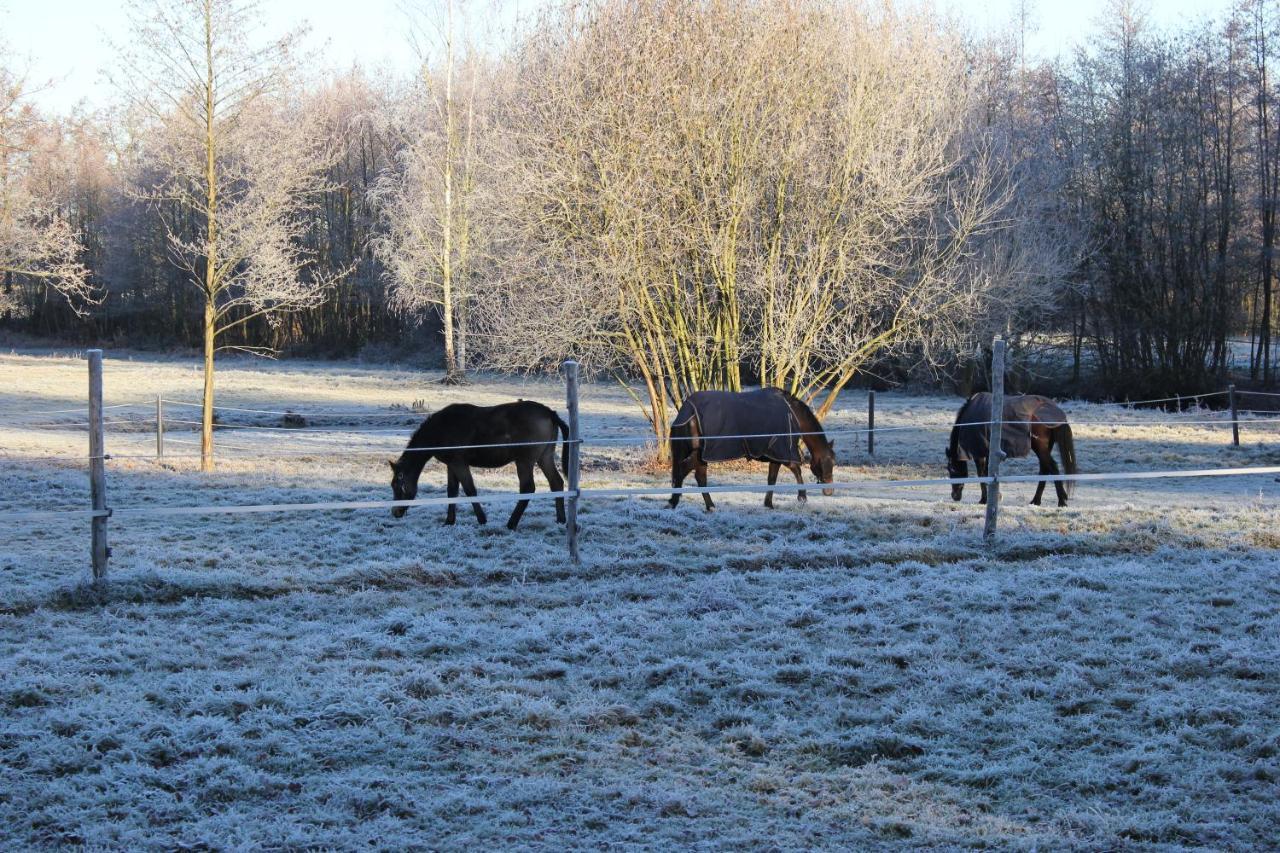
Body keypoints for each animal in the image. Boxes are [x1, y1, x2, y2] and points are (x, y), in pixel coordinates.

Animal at [386, 397, 568, 525]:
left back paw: (511, 523)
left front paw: (482, 519)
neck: (440, 429)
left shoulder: (459, 463)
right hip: (544, 457)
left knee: (528, 488)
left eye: (398, 485)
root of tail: (549, 412)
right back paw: (561, 519)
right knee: (556, 482)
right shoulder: (451, 465)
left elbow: (469, 490)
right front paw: (449, 521)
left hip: (524, 461)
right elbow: (452, 491)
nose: (395, 512)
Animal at [665, 386, 834, 512]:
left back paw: (709, 506)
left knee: (699, 477)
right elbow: (796, 470)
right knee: (684, 471)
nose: (829, 490)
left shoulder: (774, 455)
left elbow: (772, 479)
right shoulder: (782, 451)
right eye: (830, 461)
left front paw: (768, 504)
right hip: (701, 454)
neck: (792, 413)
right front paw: (802, 497)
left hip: (702, 456)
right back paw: (673, 502)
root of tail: (687, 411)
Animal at [947, 391, 1075, 504]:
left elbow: (982, 474)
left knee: (1053, 467)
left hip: (1040, 448)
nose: (954, 496)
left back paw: (1062, 501)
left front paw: (986, 499)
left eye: (950, 469)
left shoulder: (979, 453)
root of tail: (1055, 410)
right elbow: (986, 472)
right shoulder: (987, 453)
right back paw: (1036, 501)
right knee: (1045, 469)